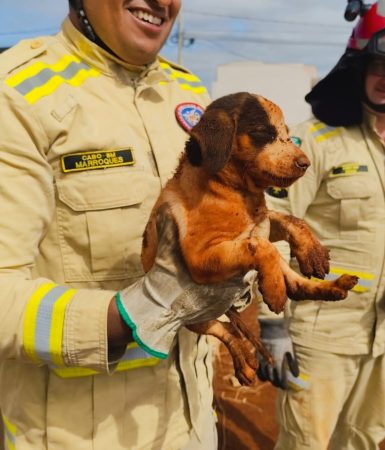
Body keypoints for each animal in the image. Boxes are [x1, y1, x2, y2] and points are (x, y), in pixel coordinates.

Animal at [141, 92, 356, 386]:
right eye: (262, 133)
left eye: (287, 134)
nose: (305, 163)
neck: (235, 190)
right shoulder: (200, 258)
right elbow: (259, 246)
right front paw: (274, 291)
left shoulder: (263, 219)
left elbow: (290, 220)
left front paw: (312, 252)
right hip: (190, 315)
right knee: (224, 329)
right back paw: (243, 358)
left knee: (297, 287)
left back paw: (335, 287)